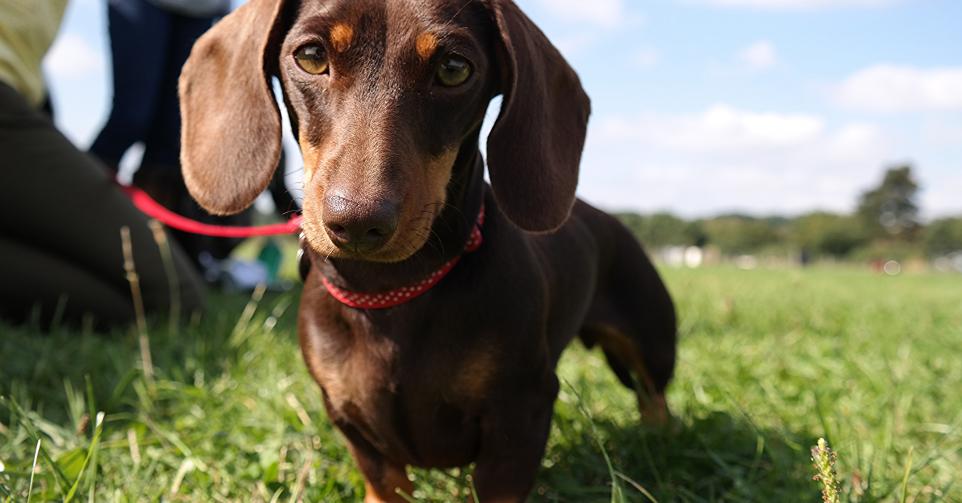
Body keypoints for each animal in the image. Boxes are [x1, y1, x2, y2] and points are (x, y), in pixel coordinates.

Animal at [180, 0, 676, 500]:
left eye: (454, 69)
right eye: (312, 57)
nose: (356, 223)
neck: (392, 293)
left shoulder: (522, 411)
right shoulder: (353, 424)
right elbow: (385, 480)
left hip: (653, 342)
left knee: (653, 395)